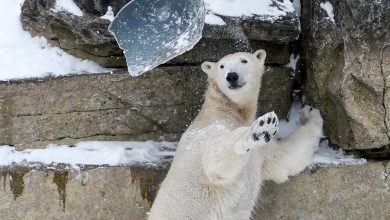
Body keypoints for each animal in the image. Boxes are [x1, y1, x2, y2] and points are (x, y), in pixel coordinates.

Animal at [147, 50, 322, 220]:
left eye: (244, 60)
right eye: (222, 66)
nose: (231, 76)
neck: (231, 109)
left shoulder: (262, 153)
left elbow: (284, 159)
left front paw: (310, 113)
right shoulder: (212, 128)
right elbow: (215, 160)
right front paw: (259, 131)